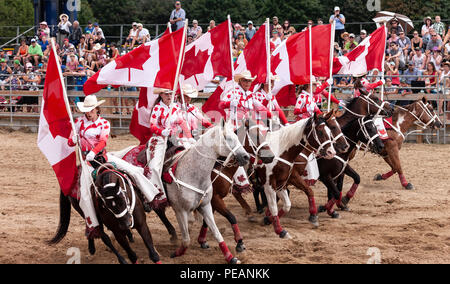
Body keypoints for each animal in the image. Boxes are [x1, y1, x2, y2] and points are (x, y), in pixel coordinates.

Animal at [164, 119, 250, 264]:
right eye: (227, 138)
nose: (246, 156)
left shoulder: (207, 203)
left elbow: (214, 229)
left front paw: (230, 256)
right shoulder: (182, 209)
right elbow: (230, 217)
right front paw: (239, 243)